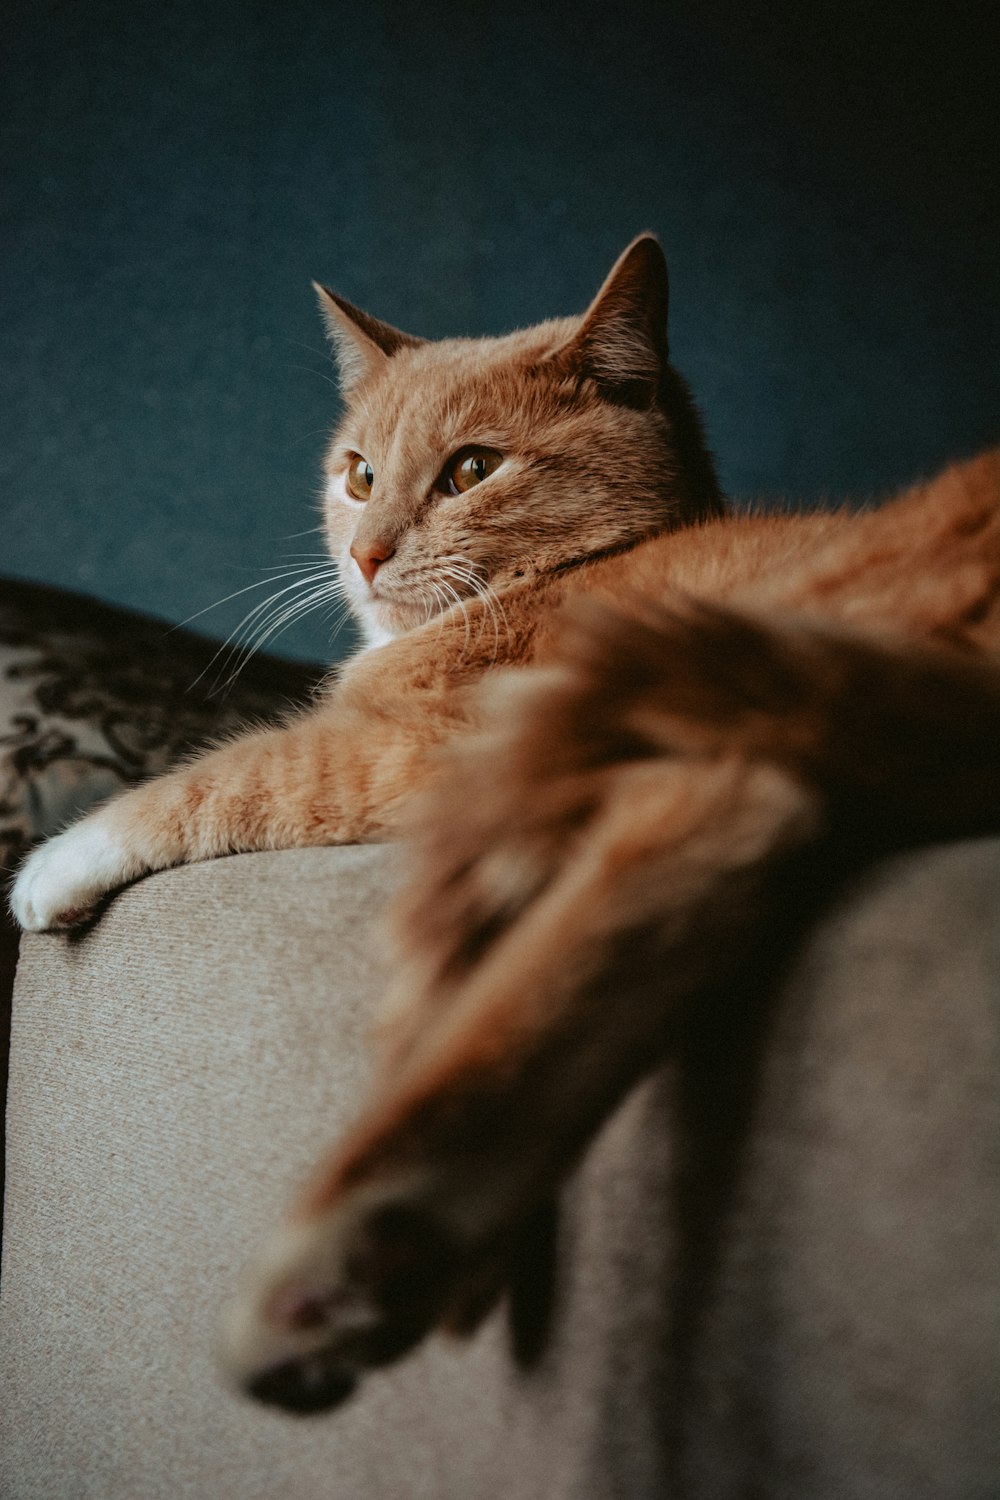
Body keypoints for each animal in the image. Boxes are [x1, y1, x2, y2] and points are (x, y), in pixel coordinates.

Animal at [9, 237, 1000, 1416]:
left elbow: (229, 774)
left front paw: (55, 860)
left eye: (471, 471)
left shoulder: (433, 747)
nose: (367, 553)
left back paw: (349, 1250)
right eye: (358, 475)